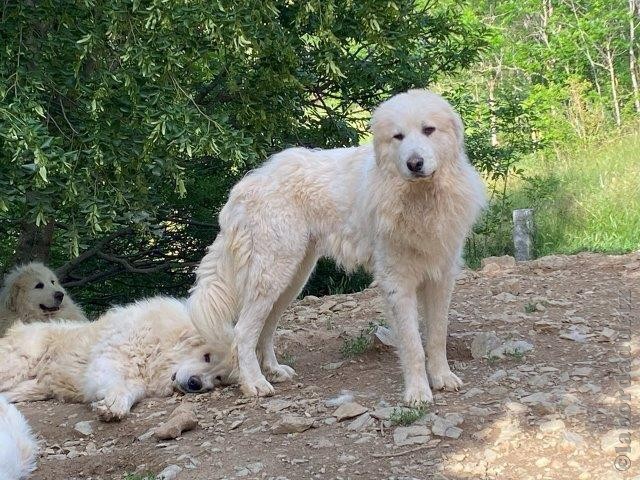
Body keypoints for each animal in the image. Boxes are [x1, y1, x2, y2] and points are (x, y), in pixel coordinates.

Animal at [0, 296, 230, 420]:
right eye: (207, 357)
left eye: (219, 378)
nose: (196, 384)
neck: (159, 343)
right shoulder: (111, 361)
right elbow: (120, 384)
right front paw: (114, 403)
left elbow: (134, 390)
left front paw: (114, 407)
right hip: (17, 366)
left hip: (34, 387)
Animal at [189, 90, 484, 404]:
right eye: (398, 136)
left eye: (429, 130)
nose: (414, 163)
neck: (420, 199)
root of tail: (245, 185)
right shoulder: (397, 281)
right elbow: (413, 345)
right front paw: (417, 393)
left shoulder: (442, 277)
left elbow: (437, 336)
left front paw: (442, 378)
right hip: (273, 274)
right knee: (243, 332)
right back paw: (255, 383)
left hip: (292, 278)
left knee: (265, 327)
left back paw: (274, 370)